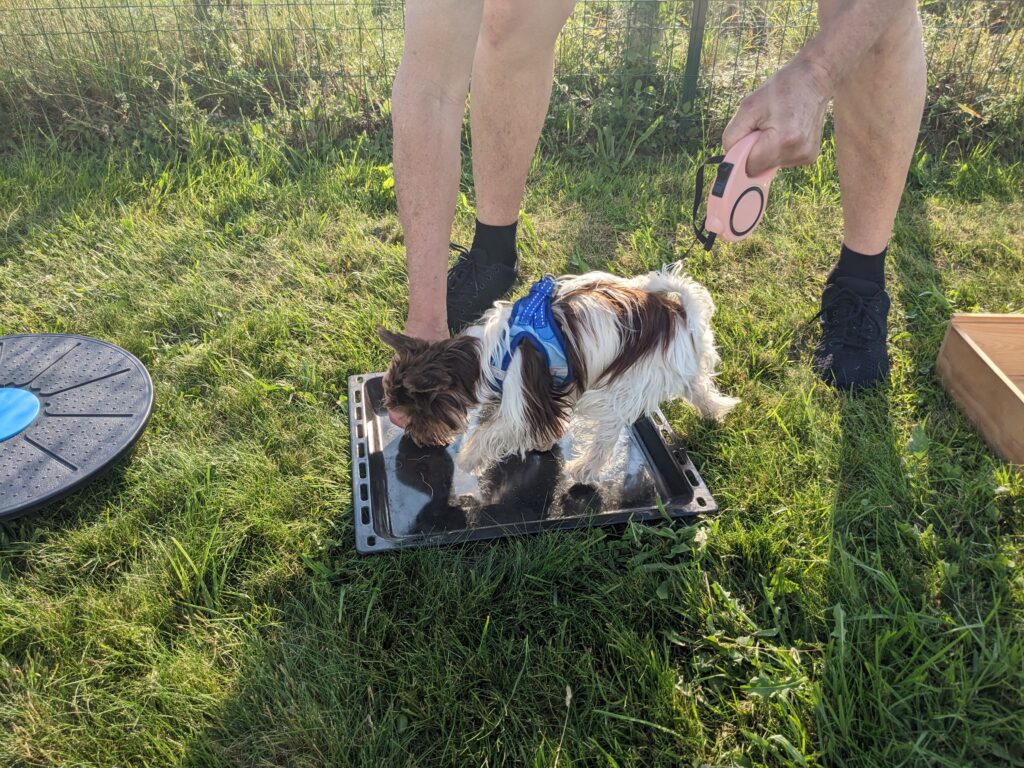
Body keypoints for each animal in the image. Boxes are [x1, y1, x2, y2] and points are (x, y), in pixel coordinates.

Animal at [376, 264, 737, 481]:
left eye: (415, 413)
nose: (416, 439)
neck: (488, 354)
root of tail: (679, 314)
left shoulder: (526, 395)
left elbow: (495, 432)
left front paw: (468, 459)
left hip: (622, 388)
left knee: (606, 436)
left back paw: (584, 468)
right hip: (678, 368)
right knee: (701, 388)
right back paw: (716, 411)